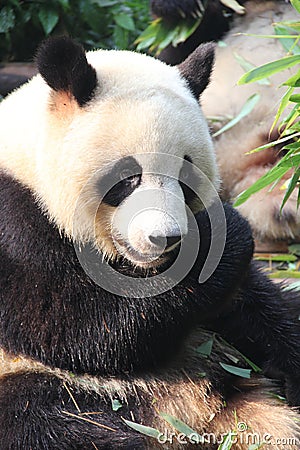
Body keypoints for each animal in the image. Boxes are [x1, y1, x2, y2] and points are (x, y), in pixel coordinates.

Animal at [0, 36, 300, 450]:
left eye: (186, 177)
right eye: (128, 177)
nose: (165, 237)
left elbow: (259, 304)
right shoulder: (16, 226)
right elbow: (79, 326)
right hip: (45, 387)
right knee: (41, 425)